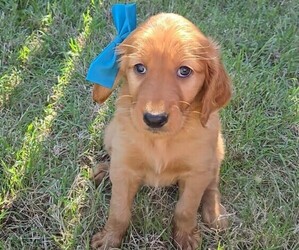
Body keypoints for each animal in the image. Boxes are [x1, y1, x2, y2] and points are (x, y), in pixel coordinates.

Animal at [91, 12, 232, 250]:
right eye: (140, 68)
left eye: (184, 71)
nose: (154, 119)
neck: (161, 141)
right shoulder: (124, 169)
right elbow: (118, 211)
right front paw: (109, 239)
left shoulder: (196, 173)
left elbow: (186, 209)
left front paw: (185, 237)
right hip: (110, 133)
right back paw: (103, 170)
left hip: (217, 148)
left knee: (212, 182)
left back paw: (214, 212)